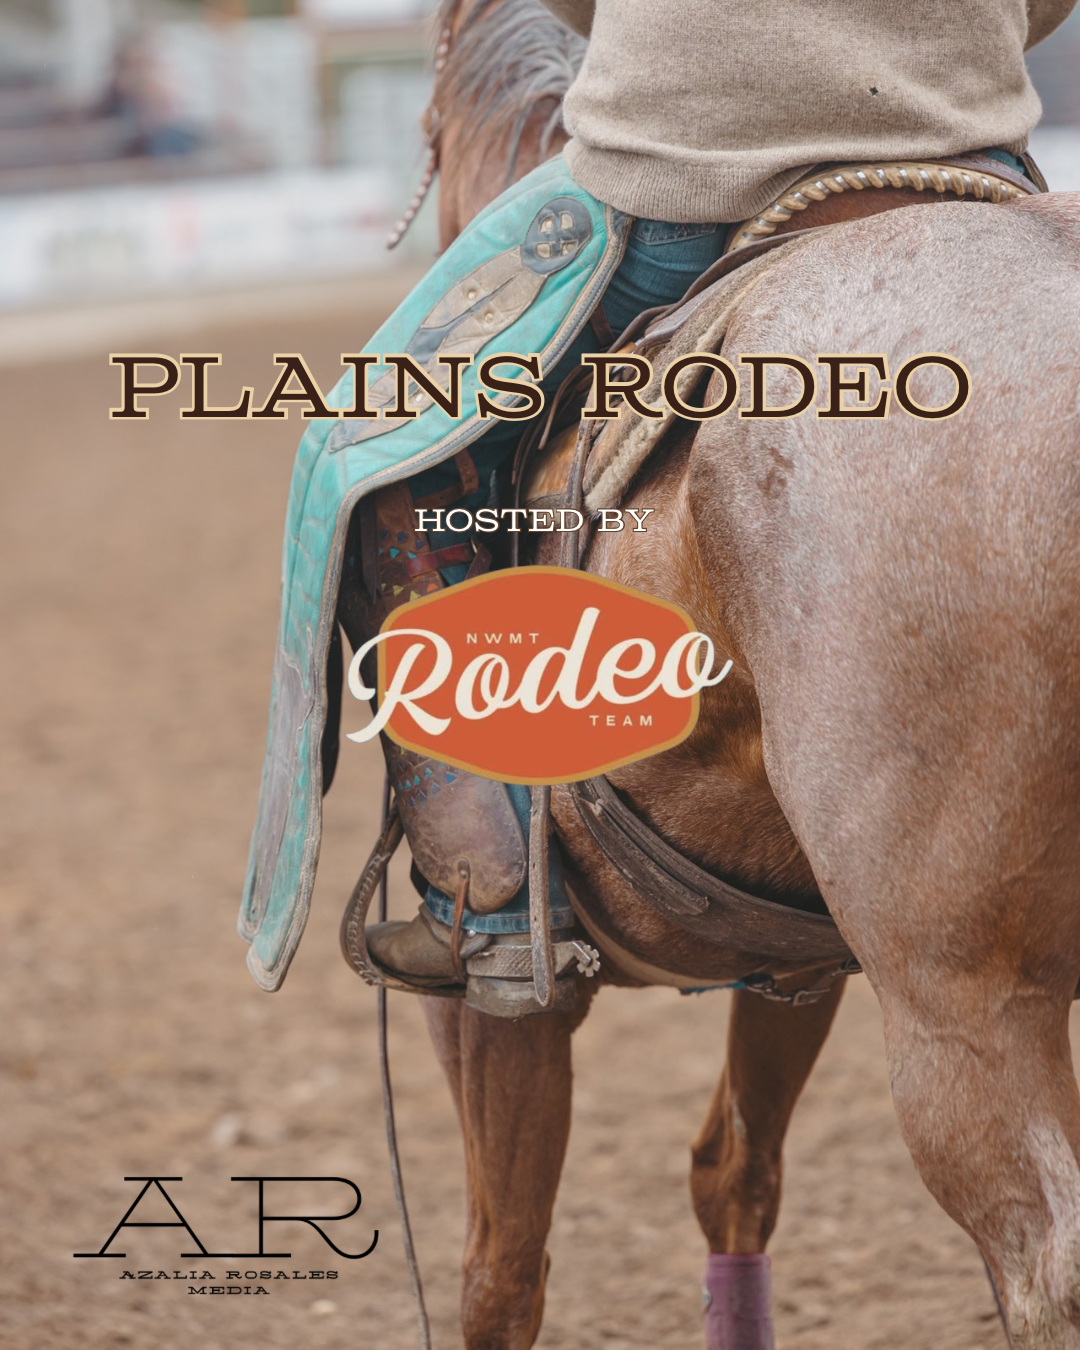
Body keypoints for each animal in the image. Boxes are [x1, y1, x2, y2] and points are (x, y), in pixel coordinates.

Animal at [379, 1, 1080, 1345]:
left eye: (426, 129)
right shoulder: (796, 960)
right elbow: (734, 1174)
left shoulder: (500, 997)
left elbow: (502, 1270)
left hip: (968, 1007)